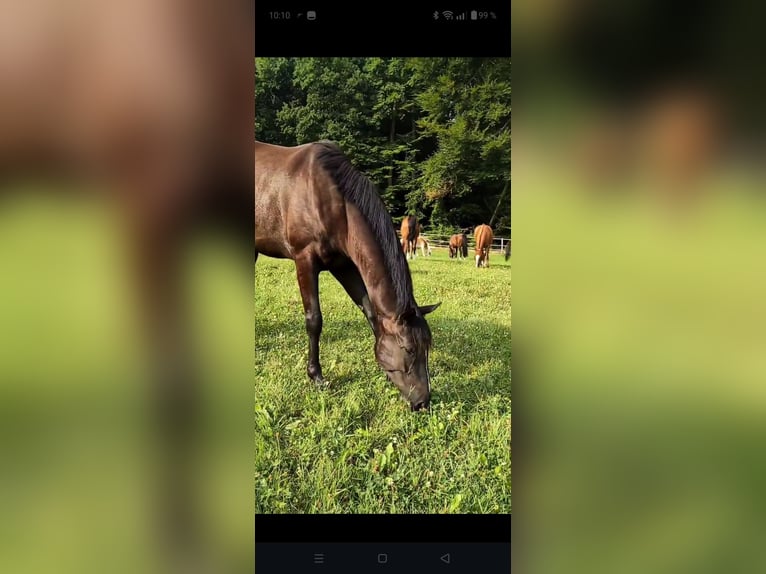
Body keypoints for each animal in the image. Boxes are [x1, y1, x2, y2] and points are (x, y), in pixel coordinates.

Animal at [255, 143, 440, 414]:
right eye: (409, 348)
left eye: (427, 346)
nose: (422, 402)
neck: (331, 201)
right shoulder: (305, 260)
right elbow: (314, 320)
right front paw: (316, 375)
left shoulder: (343, 266)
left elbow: (370, 312)